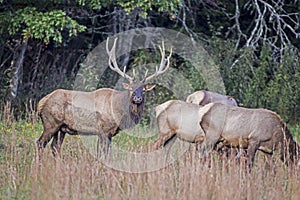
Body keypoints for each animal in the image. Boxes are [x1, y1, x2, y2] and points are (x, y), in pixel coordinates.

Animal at [154, 100, 298, 167]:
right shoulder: (253, 141)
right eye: (296, 155)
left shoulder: (267, 150)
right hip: (168, 133)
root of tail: (157, 107)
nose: (295, 172)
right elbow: (249, 164)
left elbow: (272, 169)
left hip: (172, 136)